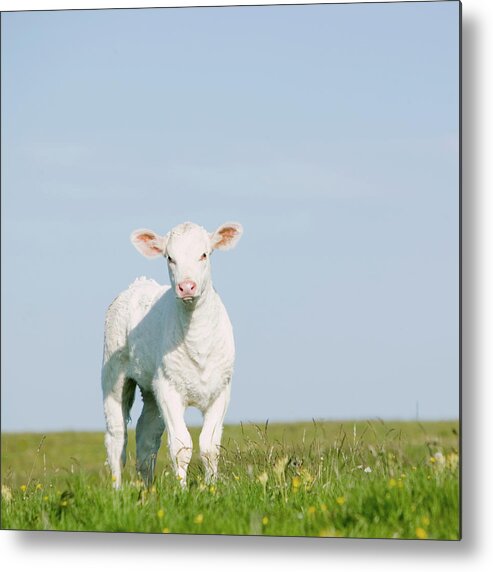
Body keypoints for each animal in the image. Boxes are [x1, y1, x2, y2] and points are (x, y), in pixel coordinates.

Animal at [102, 220, 242, 488]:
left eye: (204, 254)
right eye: (170, 257)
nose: (186, 286)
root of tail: (138, 283)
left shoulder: (222, 389)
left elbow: (210, 447)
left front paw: (212, 488)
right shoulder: (168, 388)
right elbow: (181, 446)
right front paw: (182, 490)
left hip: (150, 389)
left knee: (146, 438)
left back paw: (148, 490)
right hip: (113, 377)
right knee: (116, 439)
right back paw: (116, 491)